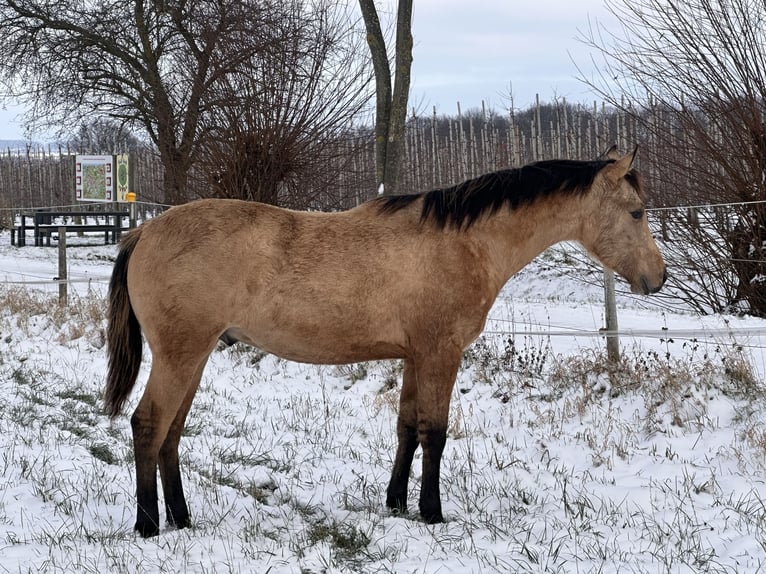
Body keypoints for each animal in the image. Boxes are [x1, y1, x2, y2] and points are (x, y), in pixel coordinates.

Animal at [105, 147, 666, 537]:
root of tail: (144, 232)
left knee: (171, 434)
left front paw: (396, 503)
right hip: (180, 355)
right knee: (149, 425)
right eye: (637, 213)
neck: (464, 243)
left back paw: (181, 518)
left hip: (194, 357)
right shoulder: (441, 353)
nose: (657, 278)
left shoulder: (416, 356)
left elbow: (407, 429)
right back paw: (148, 525)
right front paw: (432, 512)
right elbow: (435, 433)